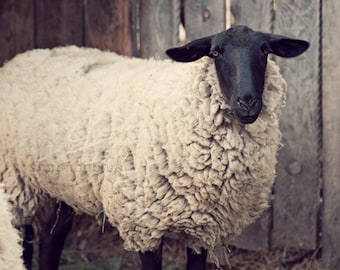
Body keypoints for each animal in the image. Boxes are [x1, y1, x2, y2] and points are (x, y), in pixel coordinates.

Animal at [0, 24, 310, 268]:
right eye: (215, 53)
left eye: (265, 51)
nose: (247, 102)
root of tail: (22, 58)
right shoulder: (143, 223)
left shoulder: (202, 227)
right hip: (16, 181)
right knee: (25, 237)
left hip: (63, 181)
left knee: (51, 237)